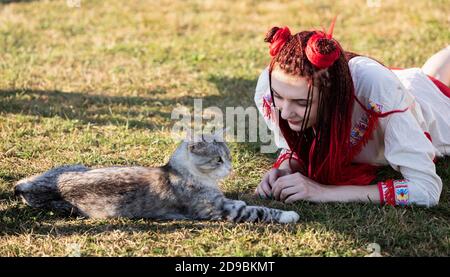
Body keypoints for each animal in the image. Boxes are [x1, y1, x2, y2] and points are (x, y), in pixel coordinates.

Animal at [14, 133, 300, 223]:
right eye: (218, 160)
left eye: (229, 157)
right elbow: (260, 210)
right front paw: (290, 215)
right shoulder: (224, 210)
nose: (229, 168)